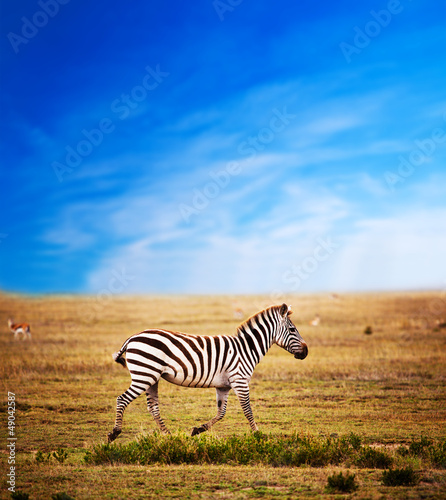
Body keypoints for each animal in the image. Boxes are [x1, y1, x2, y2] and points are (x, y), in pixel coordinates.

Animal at [107, 302, 306, 444]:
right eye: (292, 329)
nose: (306, 352)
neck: (246, 349)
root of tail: (133, 337)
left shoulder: (223, 386)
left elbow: (221, 412)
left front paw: (198, 430)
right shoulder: (240, 380)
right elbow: (248, 409)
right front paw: (258, 435)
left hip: (152, 377)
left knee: (153, 407)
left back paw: (169, 436)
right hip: (144, 374)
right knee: (122, 399)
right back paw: (114, 433)